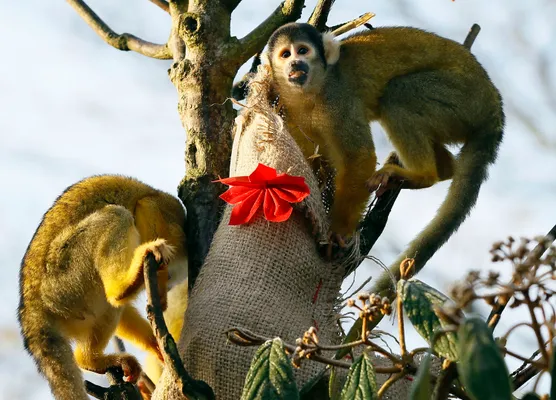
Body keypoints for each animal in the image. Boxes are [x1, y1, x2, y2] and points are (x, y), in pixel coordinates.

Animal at [17, 175, 188, 400]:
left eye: (170, 281)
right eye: (166, 276)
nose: (163, 288)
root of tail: (31, 310)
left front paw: (155, 344)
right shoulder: (171, 216)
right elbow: (147, 205)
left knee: (109, 305)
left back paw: (88, 358)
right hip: (63, 280)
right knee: (116, 214)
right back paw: (123, 287)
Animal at [264, 23, 504, 296]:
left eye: (303, 50)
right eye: (285, 54)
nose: (295, 64)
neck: (313, 90)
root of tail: (494, 108)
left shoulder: (339, 100)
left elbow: (359, 157)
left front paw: (339, 232)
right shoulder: (291, 106)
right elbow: (314, 156)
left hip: (463, 99)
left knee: (398, 93)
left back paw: (422, 175)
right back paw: (444, 169)